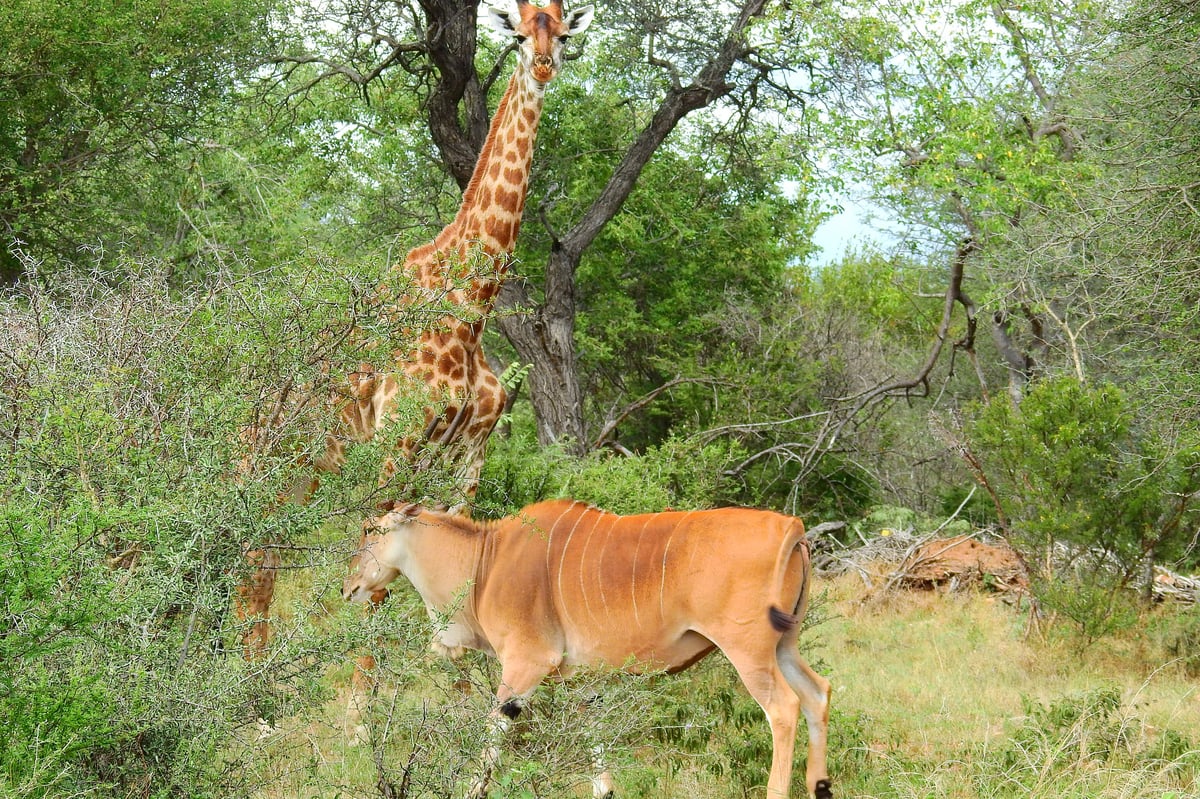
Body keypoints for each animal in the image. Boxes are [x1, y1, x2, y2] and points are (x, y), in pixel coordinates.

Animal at [234, 0, 594, 714]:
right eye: (518, 33)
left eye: (564, 32)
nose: (544, 66)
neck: (469, 306)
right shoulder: (397, 444)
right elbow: (375, 575)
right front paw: (359, 716)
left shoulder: (468, 450)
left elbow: (458, 566)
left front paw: (467, 699)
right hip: (274, 464)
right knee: (249, 558)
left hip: (304, 472)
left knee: (261, 562)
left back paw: (254, 696)